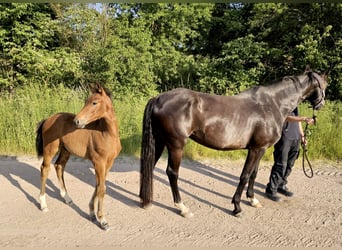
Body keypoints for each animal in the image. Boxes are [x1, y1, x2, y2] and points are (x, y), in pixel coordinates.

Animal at [35, 84, 121, 230]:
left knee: (59, 166)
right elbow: (101, 188)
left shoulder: (108, 163)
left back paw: (67, 198)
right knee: (45, 169)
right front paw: (103, 220)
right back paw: (43, 204)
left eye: (94, 102)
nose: (77, 121)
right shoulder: (99, 162)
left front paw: (92, 214)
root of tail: (47, 119)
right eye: (87, 101)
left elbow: (99, 185)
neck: (107, 134)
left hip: (65, 150)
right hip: (50, 149)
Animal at [140, 67, 328, 218]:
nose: (321, 105)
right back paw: (182, 208)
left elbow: (253, 174)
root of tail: (158, 98)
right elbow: (244, 176)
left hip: (160, 142)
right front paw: (237, 207)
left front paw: (252, 199)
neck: (272, 104)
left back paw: (144, 200)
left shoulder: (260, 149)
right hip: (176, 145)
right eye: (325, 85)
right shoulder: (255, 149)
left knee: (149, 166)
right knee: (172, 173)